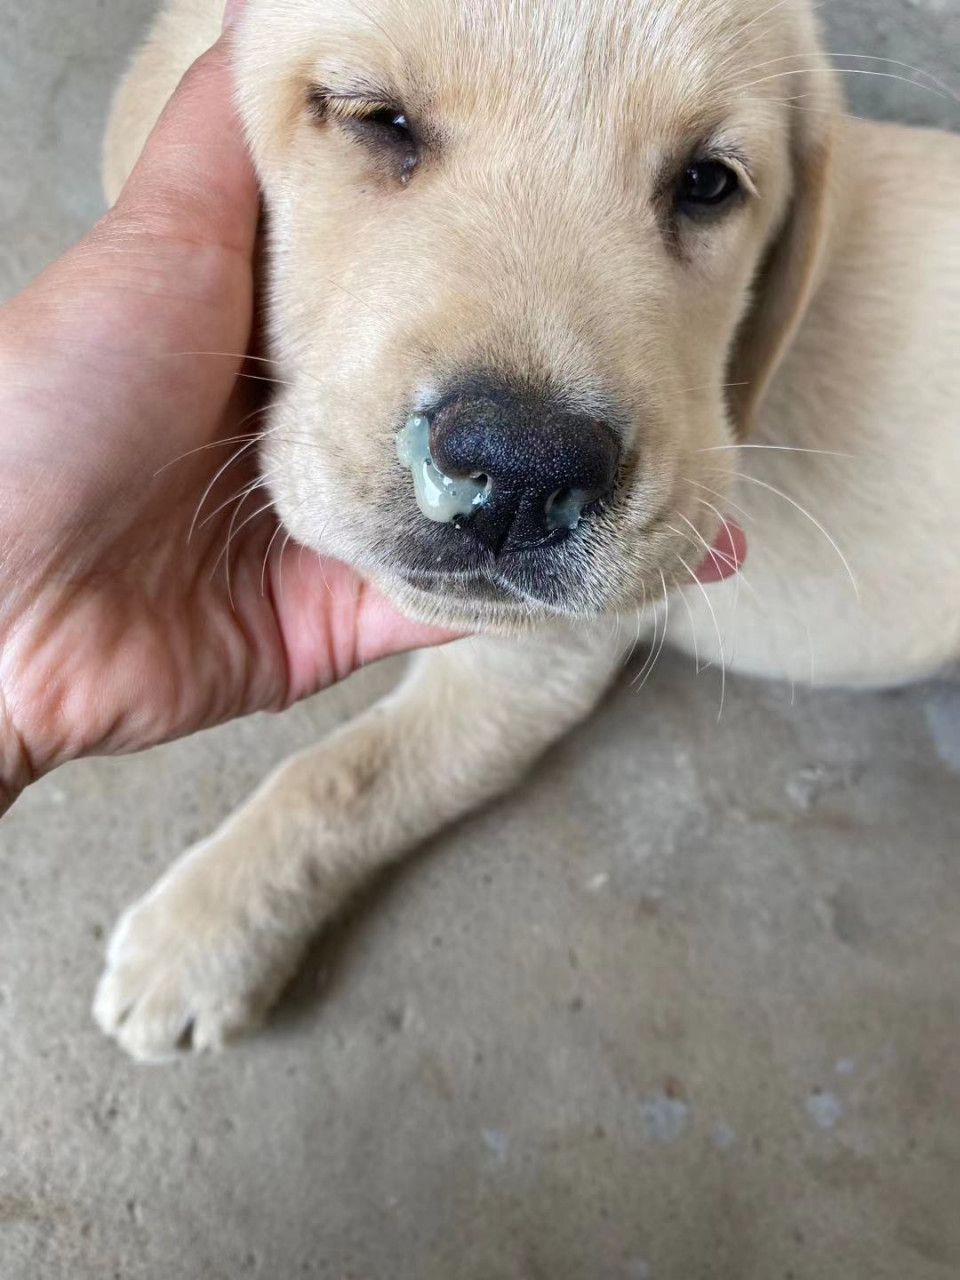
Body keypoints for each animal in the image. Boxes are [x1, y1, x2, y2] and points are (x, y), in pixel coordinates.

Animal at [94, 0, 960, 1059]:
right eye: (377, 119)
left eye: (708, 183)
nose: (520, 470)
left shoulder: (543, 657)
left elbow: (347, 775)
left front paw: (201, 937)